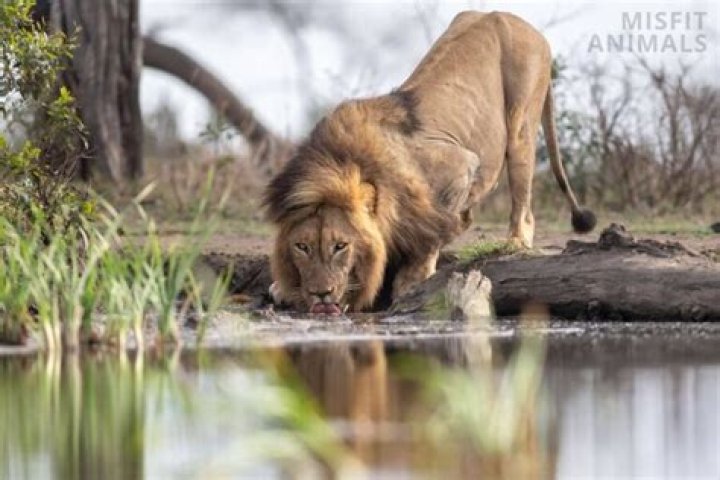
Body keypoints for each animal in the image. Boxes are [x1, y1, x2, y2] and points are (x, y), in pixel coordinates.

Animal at [263, 11, 596, 314]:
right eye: (302, 246)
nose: (320, 294)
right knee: (468, 217)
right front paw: (283, 288)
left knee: (522, 210)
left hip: (520, 129)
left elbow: (430, 235)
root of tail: (515, 19)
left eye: (340, 246)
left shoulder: (461, 164)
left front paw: (411, 282)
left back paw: (514, 244)